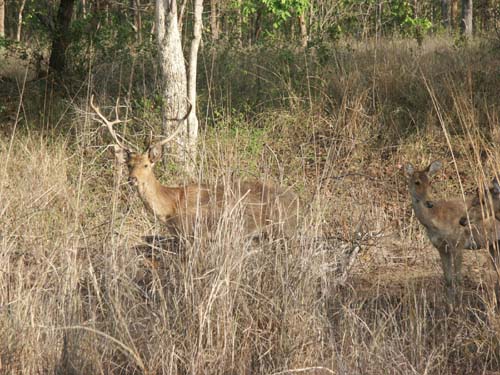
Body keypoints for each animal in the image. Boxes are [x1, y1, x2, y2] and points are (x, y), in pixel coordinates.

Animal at [90, 95, 300, 239]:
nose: (132, 179)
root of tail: (298, 202)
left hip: (281, 227)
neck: (170, 207)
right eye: (129, 164)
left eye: (147, 164)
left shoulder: (193, 232)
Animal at [404, 161, 500, 302]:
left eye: (430, 182)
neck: (436, 220)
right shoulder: (441, 247)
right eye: (417, 182)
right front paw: (450, 305)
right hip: (493, 244)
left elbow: (458, 278)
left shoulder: (458, 243)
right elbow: (448, 279)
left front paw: (460, 305)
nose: (429, 202)